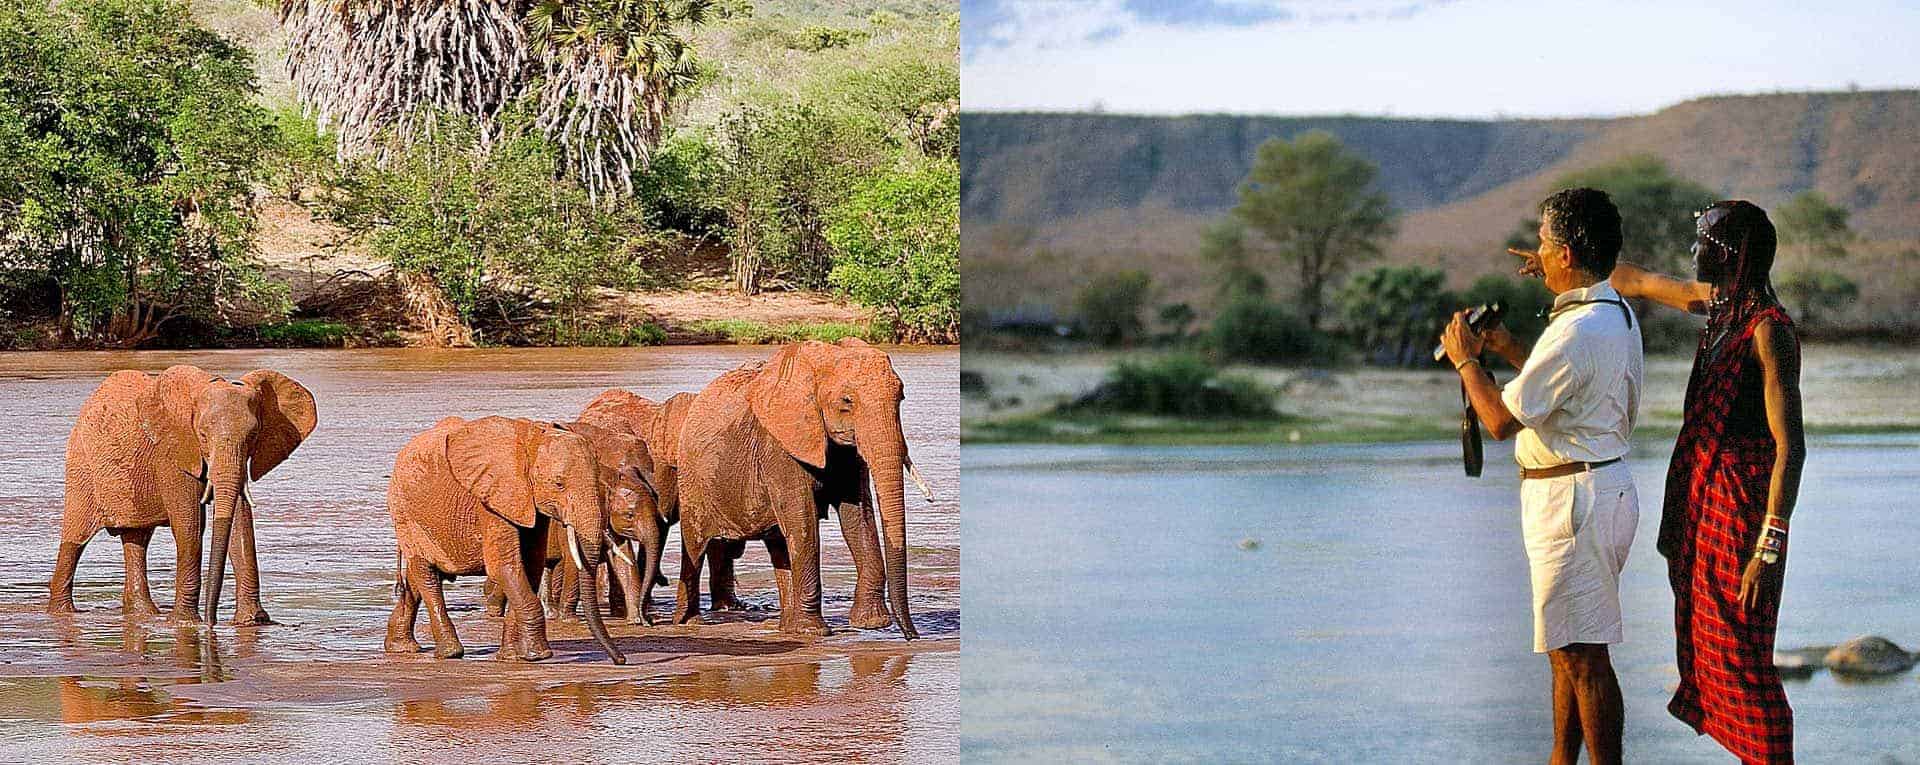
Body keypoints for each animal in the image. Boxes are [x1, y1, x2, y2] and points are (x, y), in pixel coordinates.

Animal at [53, 367, 318, 622]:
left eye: (253, 436)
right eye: (202, 435)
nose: (212, 621)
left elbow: (239, 523)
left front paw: (253, 621)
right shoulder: (172, 453)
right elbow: (189, 524)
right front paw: (186, 622)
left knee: (136, 538)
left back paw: (144, 615)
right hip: (81, 468)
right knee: (75, 539)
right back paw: (62, 612)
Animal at [385, 415, 625, 661]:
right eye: (559, 484)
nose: (620, 660)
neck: (532, 440)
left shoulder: (529, 503)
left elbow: (530, 567)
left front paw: (512, 657)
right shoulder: (492, 499)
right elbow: (504, 566)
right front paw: (539, 655)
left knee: (415, 578)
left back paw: (401, 648)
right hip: (406, 514)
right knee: (426, 574)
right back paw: (450, 653)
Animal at [679, 340, 933, 638]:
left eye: (901, 397)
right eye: (847, 401)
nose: (912, 636)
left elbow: (858, 515)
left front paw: (870, 623)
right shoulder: (779, 447)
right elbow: (803, 517)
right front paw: (816, 631)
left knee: (778, 543)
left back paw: (789, 629)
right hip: (692, 482)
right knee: (696, 546)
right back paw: (688, 622)